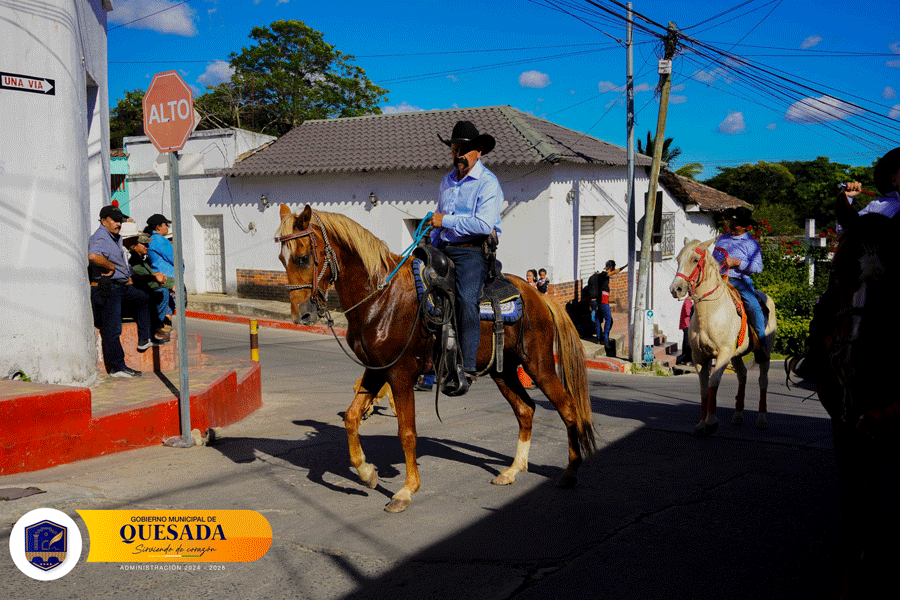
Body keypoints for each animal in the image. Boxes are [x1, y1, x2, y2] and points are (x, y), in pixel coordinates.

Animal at [275, 204, 596, 513]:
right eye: (281, 258)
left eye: (303, 258)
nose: (301, 315)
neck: (381, 298)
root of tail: (540, 296)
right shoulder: (376, 369)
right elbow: (352, 417)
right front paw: (366, 473)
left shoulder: (399, 374)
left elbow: (407, 432)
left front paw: (406, 491)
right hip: (503, 371)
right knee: (525, 410)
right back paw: (513, 470)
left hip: (539, 366)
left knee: (568, 408)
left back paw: (570, 472)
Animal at [669, 237, 777, 436]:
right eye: (678, 259)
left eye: (695, 260)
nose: (676, 289)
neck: (711, 311)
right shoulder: (699, 356)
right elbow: (704, 386)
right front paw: (701, 423)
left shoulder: (723, 354)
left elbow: (714, 381)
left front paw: (711, 422)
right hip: (737, 355)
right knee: (742, 375)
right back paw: (738, 415)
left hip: (764, 352)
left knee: (762, 380)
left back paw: (761, 419)